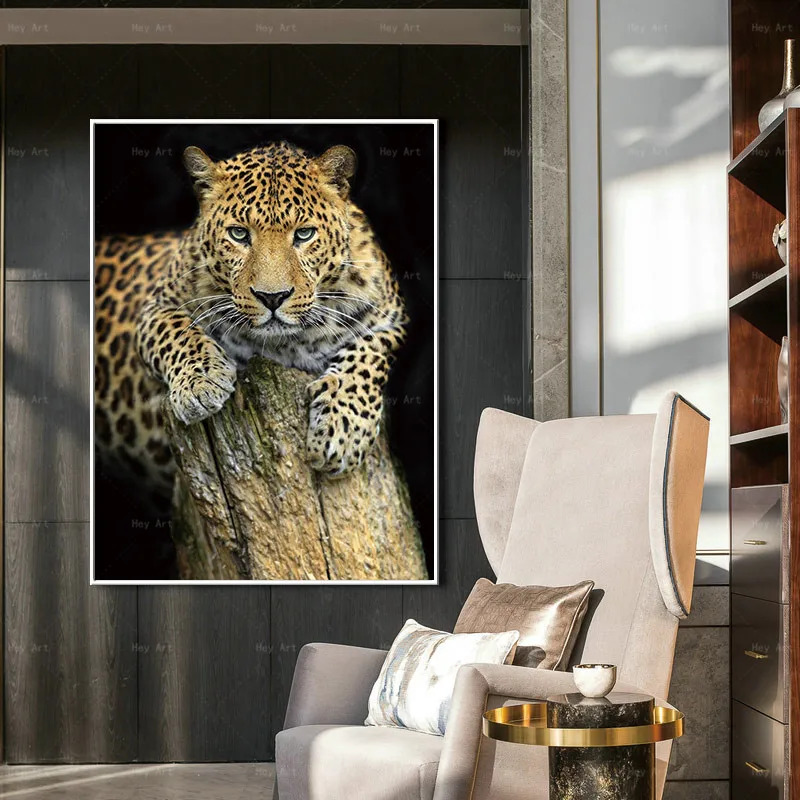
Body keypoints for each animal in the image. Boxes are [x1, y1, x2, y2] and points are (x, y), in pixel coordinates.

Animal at [94, 141, 408, 514]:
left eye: (304, 234)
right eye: (239, 234)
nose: (272, 297)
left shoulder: (391, 318)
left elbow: (368, 356)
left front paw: (341, 431)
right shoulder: (156, 307)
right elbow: (178, 332)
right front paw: (202, 383)